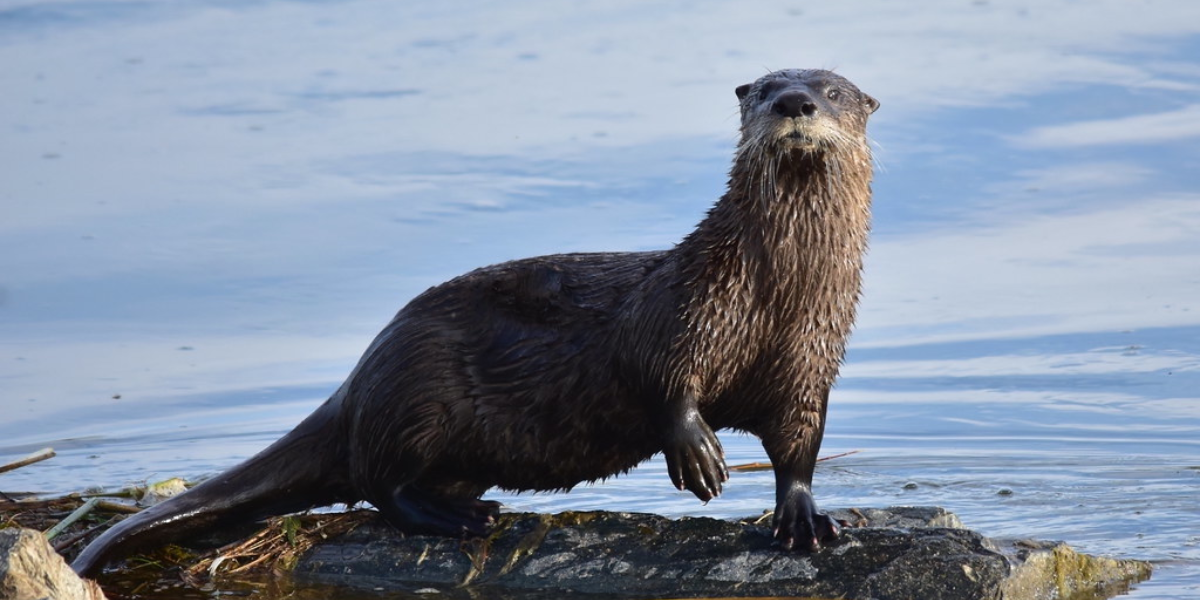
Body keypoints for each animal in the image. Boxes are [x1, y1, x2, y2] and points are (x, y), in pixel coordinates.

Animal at [75, 66, 883, 576]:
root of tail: (358, 379)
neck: (775, 295)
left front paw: (805, 518)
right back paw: (461, 518)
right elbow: (656, 374)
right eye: (766, 89)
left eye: (832, 90)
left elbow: (799, 442)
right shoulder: (684, 308)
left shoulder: (809, 359)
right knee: (380, 484)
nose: (795, 104)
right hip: (419, 394)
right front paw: (699, 453)